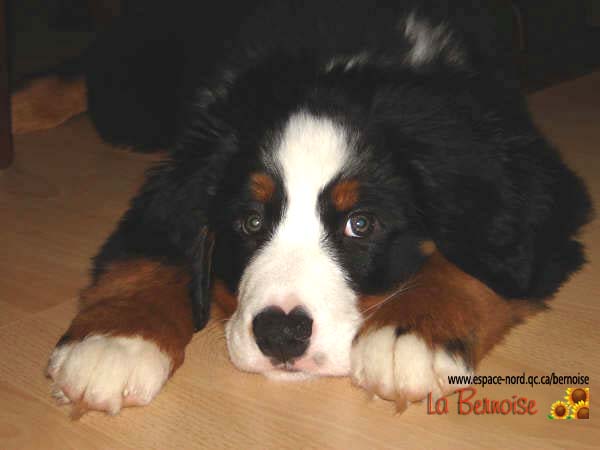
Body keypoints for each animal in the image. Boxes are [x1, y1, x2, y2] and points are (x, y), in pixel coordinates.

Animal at [47, 0, 591, 416]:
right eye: (251, 221)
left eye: (360, 224)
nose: (281, 334)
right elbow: (155, 251)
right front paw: (114, 340)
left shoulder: (531, 187)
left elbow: (477, 257)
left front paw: (409, 334)